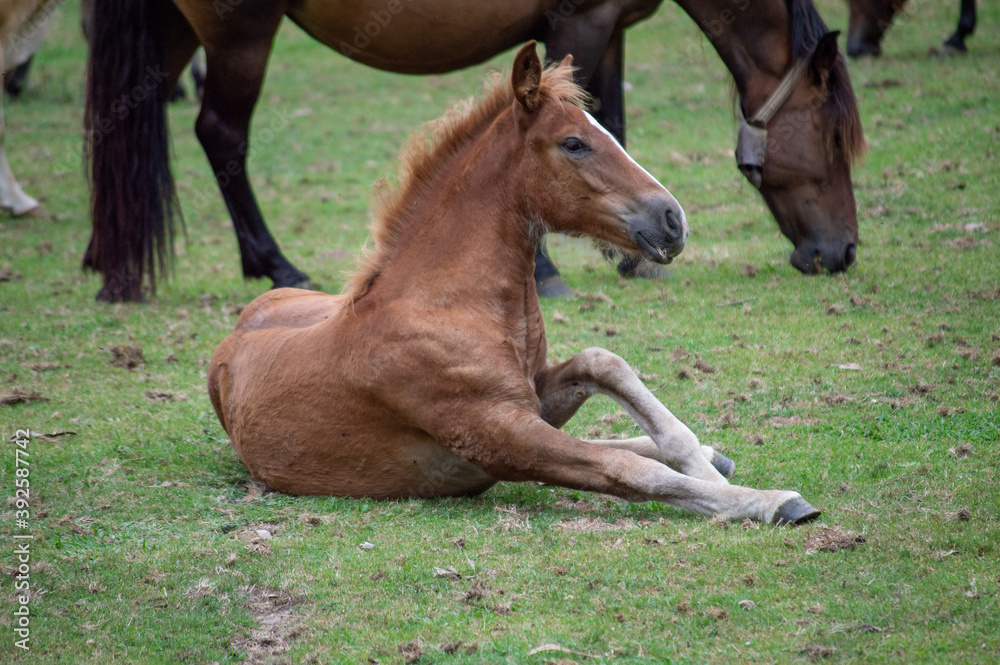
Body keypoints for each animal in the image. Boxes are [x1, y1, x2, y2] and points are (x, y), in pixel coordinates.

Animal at [84, 0, 864, 303]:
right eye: (833, 138)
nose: (842, 251)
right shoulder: (583, 19)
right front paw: (555, 269)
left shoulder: (608, 28)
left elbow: (612, 110)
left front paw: (627, 256)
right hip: (241, 33)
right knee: (221, 133)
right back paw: (274, 263)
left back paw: (105, 257)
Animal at [207, 43, 821, 525]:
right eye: (574, 143)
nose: (673, 220)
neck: (449, 306)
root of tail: (232, 333)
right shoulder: (502, 434)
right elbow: (626, 470)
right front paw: (771, 502)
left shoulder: (535, 397)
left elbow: (605, 363)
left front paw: (707, 466)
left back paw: (717, 458)